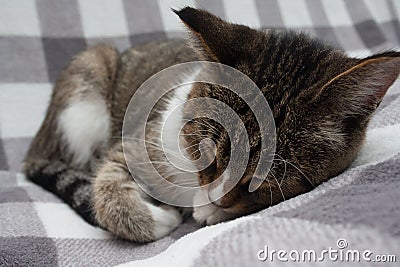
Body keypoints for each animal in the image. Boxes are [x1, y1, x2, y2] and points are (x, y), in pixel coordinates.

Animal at [24, 6, 400, 243]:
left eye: (264, 182)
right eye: (206, 154)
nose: (216, 199)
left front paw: (210, 210)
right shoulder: (140, 141)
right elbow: (108, 186)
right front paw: (157, 219)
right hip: (87, 83)